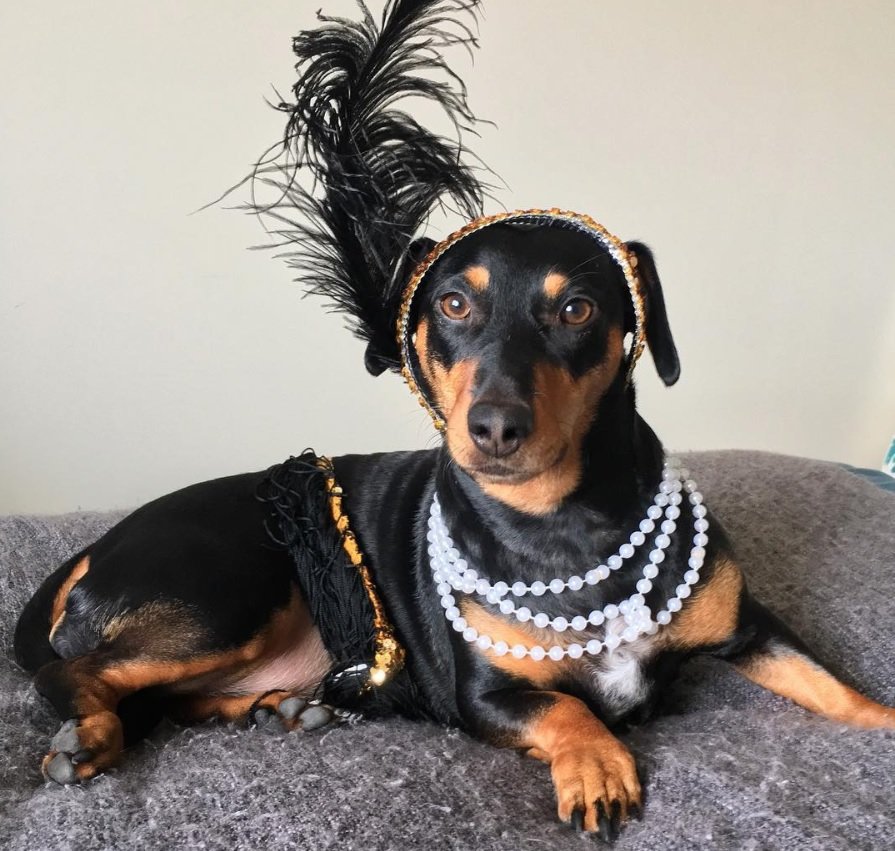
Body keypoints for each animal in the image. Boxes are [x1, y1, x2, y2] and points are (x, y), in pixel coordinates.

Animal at [14, 0, 895, 844]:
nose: (495, 426)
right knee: (83, 674)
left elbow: (831, 683)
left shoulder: (753, 627)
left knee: (163, 699)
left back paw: (277, 707)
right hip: (227, 594)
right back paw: (90, 733)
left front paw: (880, 722)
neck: (563, 521)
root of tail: (98, 547)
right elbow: (566, 706)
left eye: (576, 309)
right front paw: (597, 765)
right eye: (452, 304)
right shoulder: (488, 692)